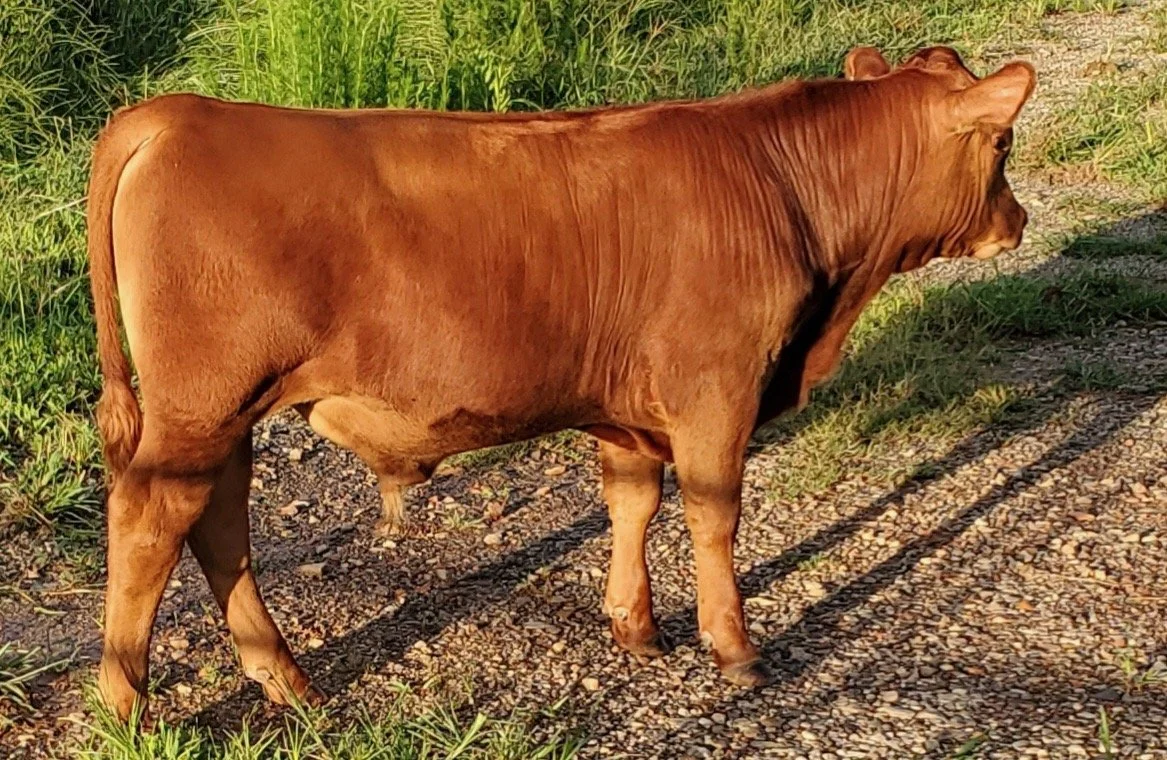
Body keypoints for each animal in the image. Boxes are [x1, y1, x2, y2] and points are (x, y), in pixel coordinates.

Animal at [87, 44, 1034, 720]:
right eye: (1002, 142)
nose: (1017, 221)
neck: (783, 190)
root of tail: (175, 111)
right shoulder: (717, 389)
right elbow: (713, 515)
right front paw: (733, 648)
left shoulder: (627, 407)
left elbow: (632, 502)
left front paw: (635, 627)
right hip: (202, 406)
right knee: (152, 520)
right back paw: (128, 702)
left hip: (226, 414)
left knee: (217, 523)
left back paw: (285, 679)